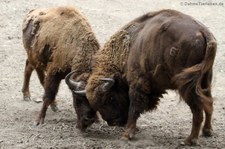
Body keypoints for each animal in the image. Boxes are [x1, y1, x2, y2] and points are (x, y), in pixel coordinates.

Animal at [68, 9, 216, 146]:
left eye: (110, 98)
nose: (113, 122)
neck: (129, 46)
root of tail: (204, 33)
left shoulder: (137, 83)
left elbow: (134, 107)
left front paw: (127, 135)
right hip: (205, 80)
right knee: (209, 103)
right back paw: (207, 131)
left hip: (187, 86)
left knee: (198, 110)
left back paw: (190, 140)